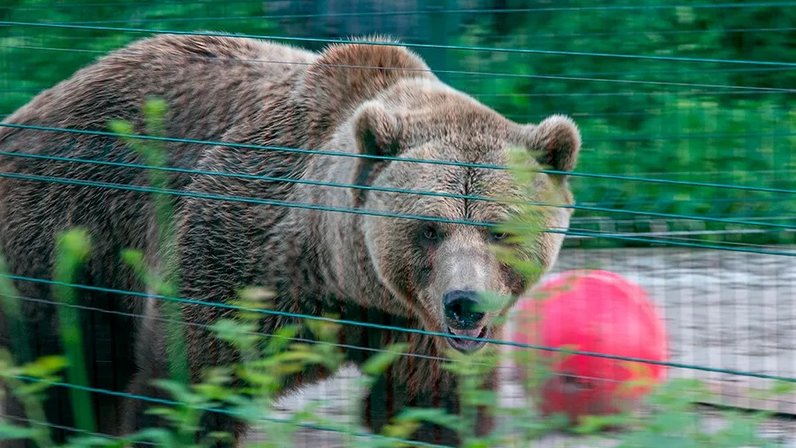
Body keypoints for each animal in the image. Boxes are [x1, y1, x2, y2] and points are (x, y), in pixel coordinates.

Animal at [0, 34, 580, 444]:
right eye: (429, 228)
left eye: (500, 230)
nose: (465, 304)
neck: (341, 278)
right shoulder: (237, 256)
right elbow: (190, 385)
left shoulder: (415, 327)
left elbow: (430, 407)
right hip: (66, 231)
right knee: (54, 371)